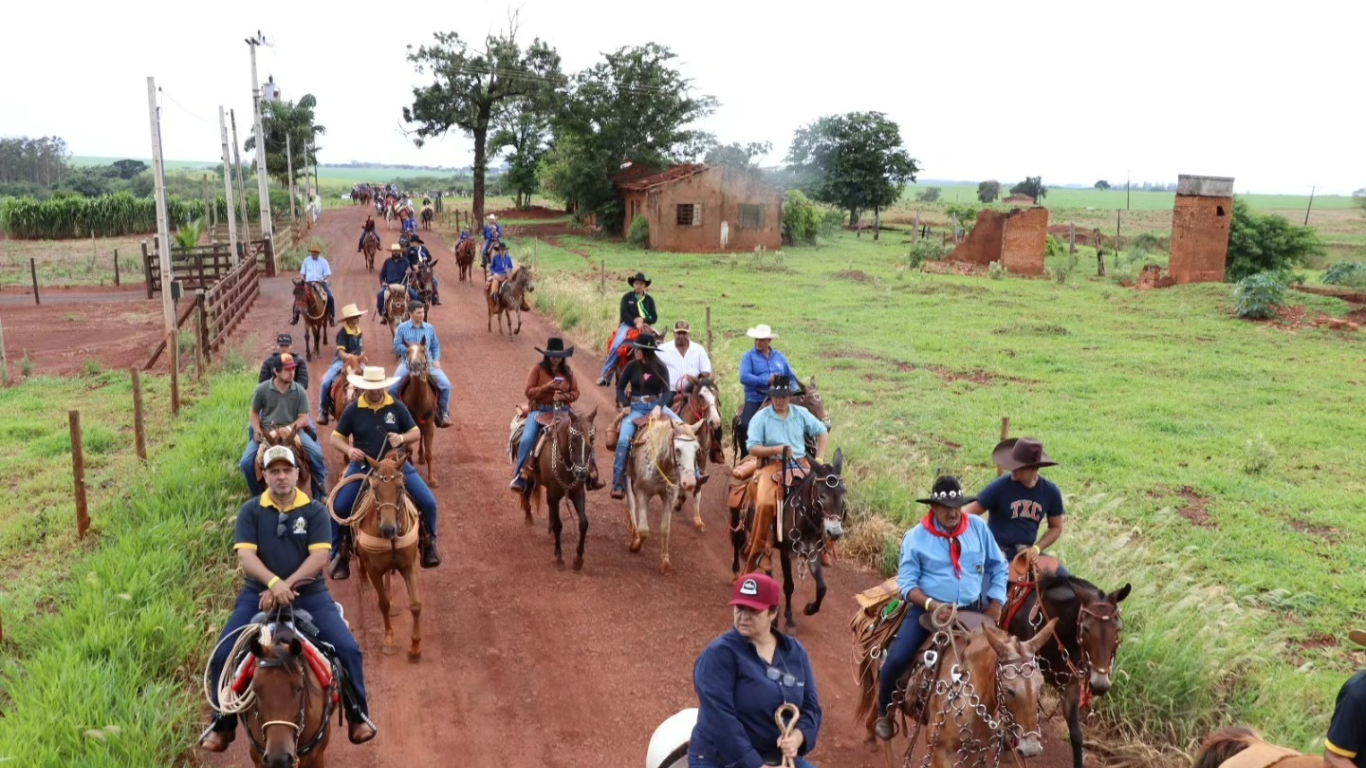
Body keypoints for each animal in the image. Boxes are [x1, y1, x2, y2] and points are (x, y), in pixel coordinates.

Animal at [398, 340, 439, 483]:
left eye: (423, 350)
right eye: (407, 351)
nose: (415, 366)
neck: (419, 400)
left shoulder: (429, 424)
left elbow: (430, 453)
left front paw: (431, 479)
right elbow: (409, 449)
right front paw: (410, 466)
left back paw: (421, 458)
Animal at [513, 407, 598, 568]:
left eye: (593, 439)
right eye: (573, 439)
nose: (582, 473)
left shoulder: (578, 493)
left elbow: (583, 523)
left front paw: (578, 559)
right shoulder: (553, 494)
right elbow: (559, 525)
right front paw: (559, 556)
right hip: (530, 476)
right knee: (525, 491)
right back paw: (528, 516)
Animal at [625, 412, 699, 568]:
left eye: (697, 450)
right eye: (678, 450)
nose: (689, 482)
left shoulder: (670, 496)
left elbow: (665, 529)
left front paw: (665, 561)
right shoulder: (642, 491)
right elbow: (644, 530)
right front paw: (635, 546)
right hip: (627, 475)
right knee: (631, 503)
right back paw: (633, 531)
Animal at [737, 445, 841, 631]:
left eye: (844, 493)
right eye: (822, 495)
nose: (835, 532)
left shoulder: (812, 552)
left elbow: (822, 587)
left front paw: (809, 608)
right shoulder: (785, 553)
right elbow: (789, 585)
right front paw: (789, 617)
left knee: (767, 566)